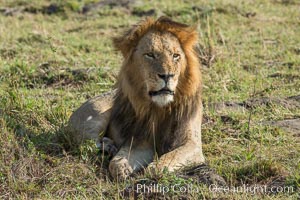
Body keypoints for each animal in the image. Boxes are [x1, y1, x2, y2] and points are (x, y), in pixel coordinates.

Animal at [68, 17, 205, 180]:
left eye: (175, 56)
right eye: (150, 55)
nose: (167, 76)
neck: (160, 108)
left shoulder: (192, 144)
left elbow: (166, 160)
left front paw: (152, 169)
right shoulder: (142, 140)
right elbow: (116, 163)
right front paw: (123, 167)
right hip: (94, 116)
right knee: (85, 141)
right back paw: (109, 146)